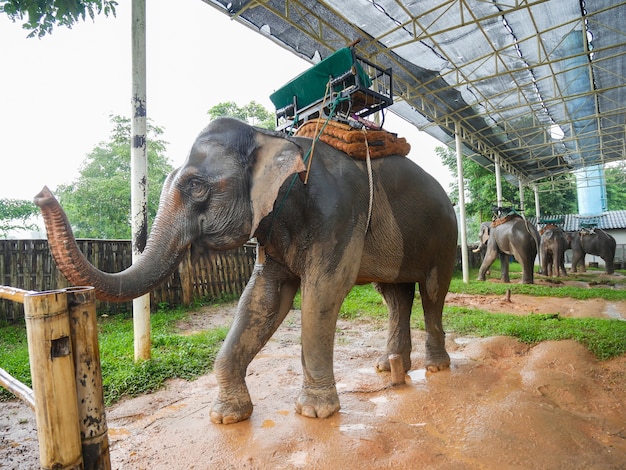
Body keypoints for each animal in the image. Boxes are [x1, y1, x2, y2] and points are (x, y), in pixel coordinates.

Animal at [34, 118, 456, 426]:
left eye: (196, 186)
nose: (41, 193)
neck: (270, 138)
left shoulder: (337, 213)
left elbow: (323, 292)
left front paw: (316, 412)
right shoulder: (271, 228)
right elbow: (262, 299)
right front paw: (226, 417)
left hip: (443, 236)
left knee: (433, 292)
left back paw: (436, 367)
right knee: (395, 295)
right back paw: (389, 366)